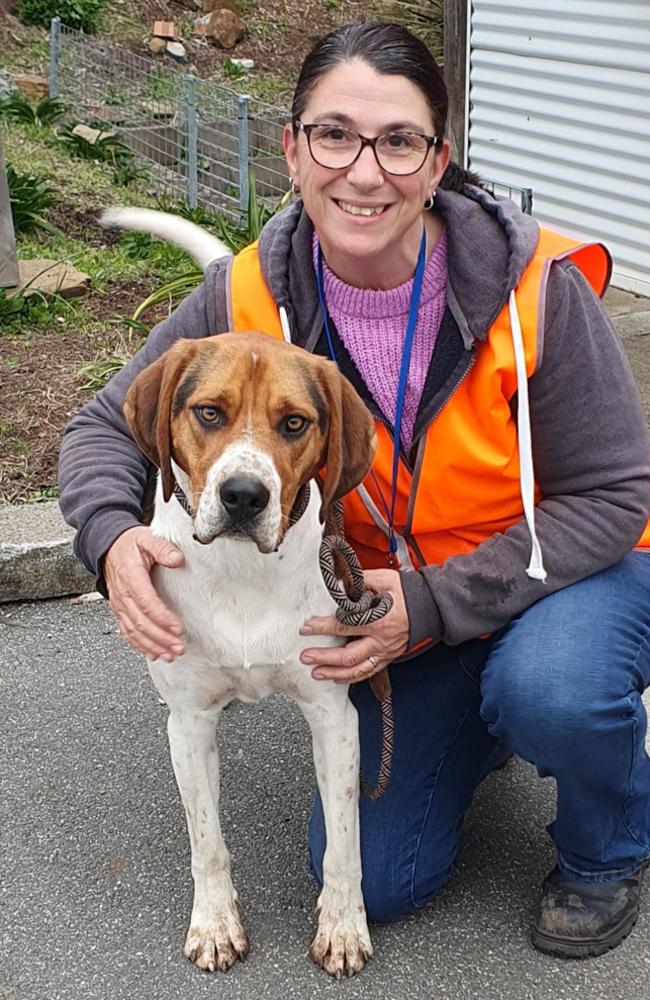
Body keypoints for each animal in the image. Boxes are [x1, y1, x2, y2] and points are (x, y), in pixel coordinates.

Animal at [111, 207, 374, 972]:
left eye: (294, 423)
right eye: (208, 413)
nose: (244, 497)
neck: (243, 573)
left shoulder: (333, 713)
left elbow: (344, 843)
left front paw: (343, 924)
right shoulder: (190, 722)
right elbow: (207, 842)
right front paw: (214, 923)